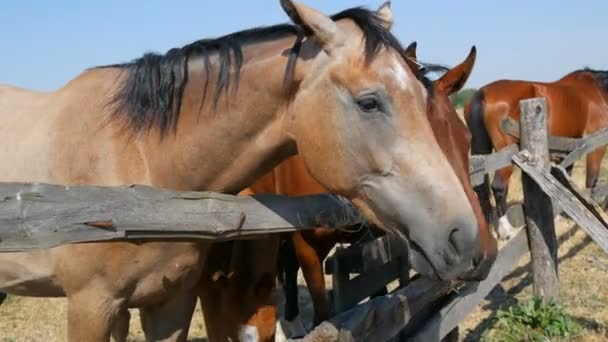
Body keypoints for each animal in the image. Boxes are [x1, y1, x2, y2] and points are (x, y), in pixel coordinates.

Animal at [466, 68, 608, 239]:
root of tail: (483, 93)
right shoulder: (595, 146)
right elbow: (591, 181)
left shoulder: (568, 149)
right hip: (505, 157)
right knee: (499, 187)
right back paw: (507, 230)